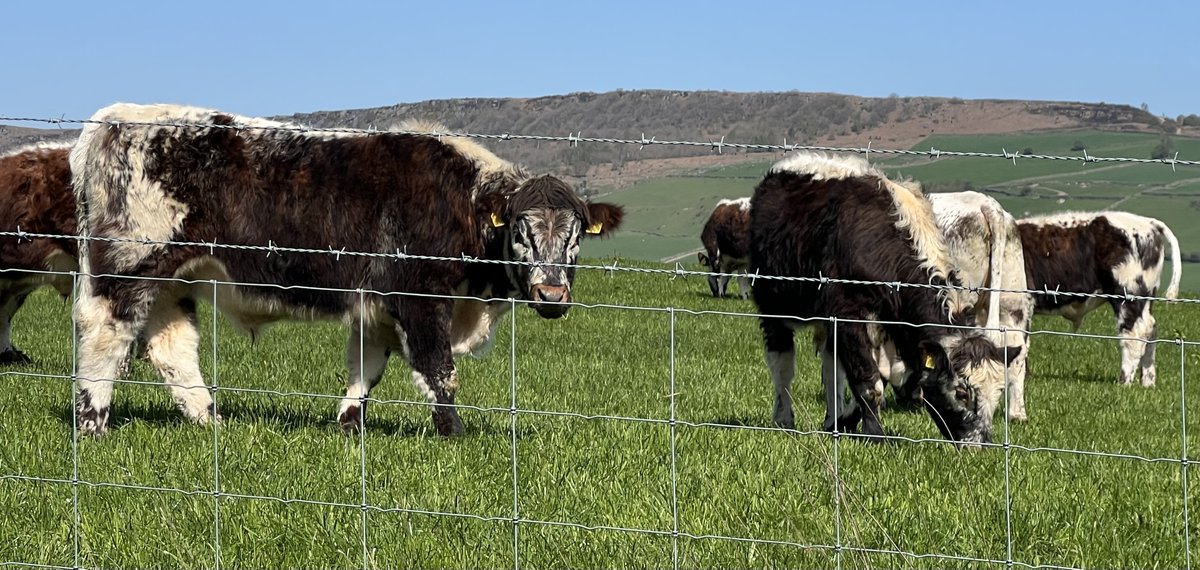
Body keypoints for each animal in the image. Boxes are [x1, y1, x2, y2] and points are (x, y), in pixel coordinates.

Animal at [68, 102, 624, 437]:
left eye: (576, 235)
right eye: (521, 231)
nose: (551, 295)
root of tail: (113, 117)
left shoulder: (373, 305)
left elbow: (366, 368)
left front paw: (349, 426)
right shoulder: (419, 299)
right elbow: (439, 371)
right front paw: (454, 435)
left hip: (173, 279)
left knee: (172, 350)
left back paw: (211, 421)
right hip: (129, 267)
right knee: (105, 334)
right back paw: (92, 423)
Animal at [1017, 211, 1181, 387]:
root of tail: (1148, 222)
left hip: (1128, 294)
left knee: (1134, 333)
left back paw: (1124, 382)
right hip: (1146, 298)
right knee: (1151, 330)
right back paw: (1147, 382)